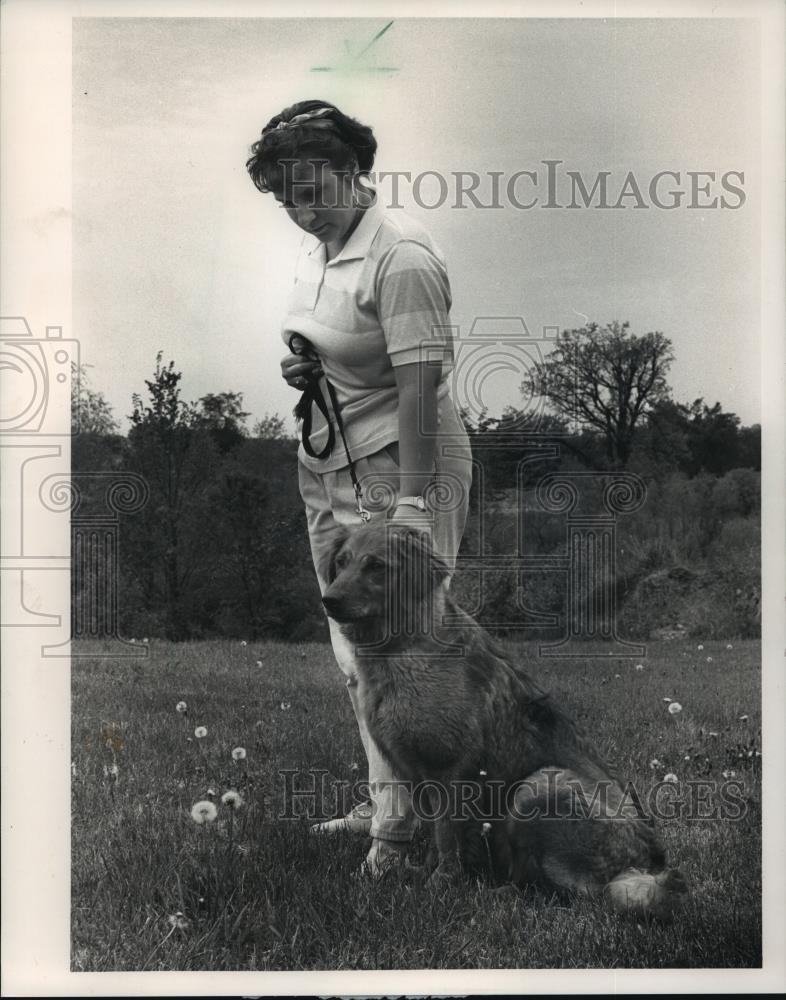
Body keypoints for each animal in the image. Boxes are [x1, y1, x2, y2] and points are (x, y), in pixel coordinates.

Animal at [318, 516, 688, 920]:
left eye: (376, 566)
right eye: (342, 562)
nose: (328, 600)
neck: (400, 650)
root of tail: (645, 862)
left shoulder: (450, 773)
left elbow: (447, 837)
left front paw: (441, 884)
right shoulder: (415, 772)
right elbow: (434, 836)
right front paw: (425, 872)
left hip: (538, 786)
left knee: (569, 894)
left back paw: (498, 894)